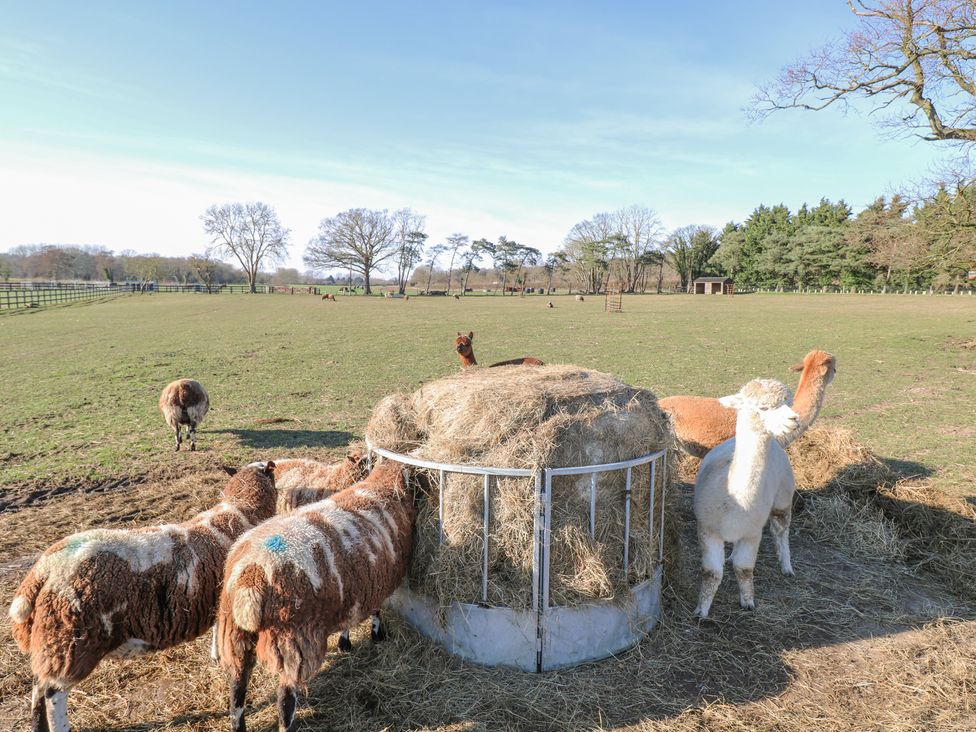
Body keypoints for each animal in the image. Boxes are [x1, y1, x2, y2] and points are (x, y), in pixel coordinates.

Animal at [10, 464, 278, 732]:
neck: (241, 508)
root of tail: (41, 571)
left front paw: (215, 654)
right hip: (69, 644)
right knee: (53, 694)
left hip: (50, 644)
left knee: (37, 688)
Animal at [217, 464, 416, 732]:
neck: (384, 485)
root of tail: (252, 577)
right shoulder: (378, 581)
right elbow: (377, 609)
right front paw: (377, 635)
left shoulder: (353, 590)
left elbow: (350, 616)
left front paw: (345, 643)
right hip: (293, 639)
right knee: (285, 698)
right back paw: (288, 725)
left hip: (234, 634)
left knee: (237, 688)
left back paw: (238, 724)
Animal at [692, 380, 796, 620]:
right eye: (763, 407)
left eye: (788, 402)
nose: (794, 419)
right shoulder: (707, 528)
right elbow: (711, 572)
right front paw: (701, 610)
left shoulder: (752, 532)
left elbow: (744, 568)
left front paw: (748, 601)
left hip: (783, 495)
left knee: (781, 530)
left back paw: (786, 566)